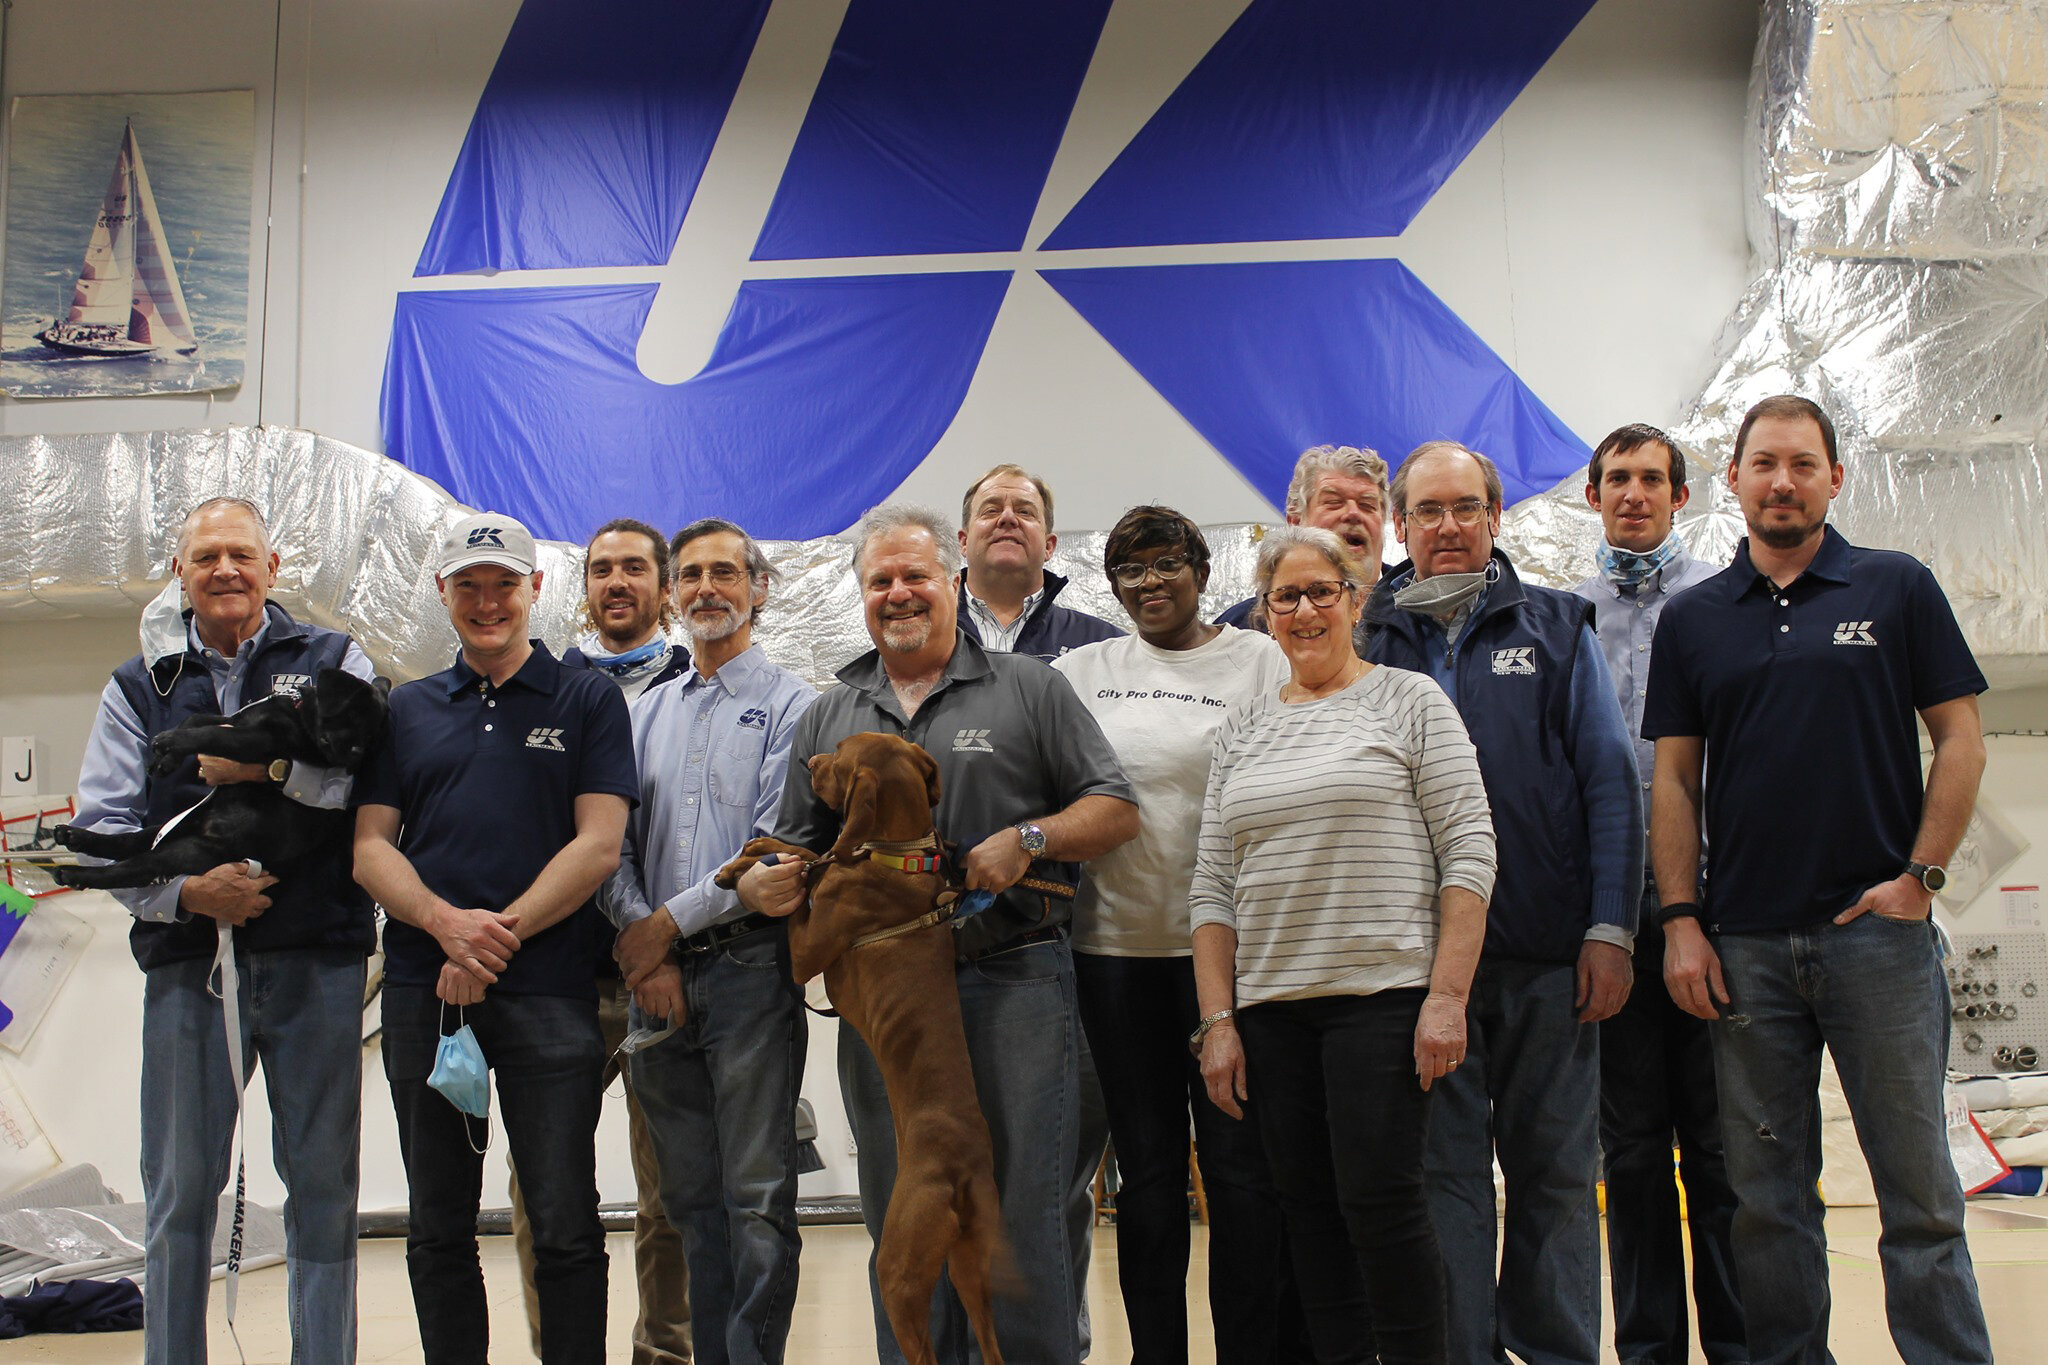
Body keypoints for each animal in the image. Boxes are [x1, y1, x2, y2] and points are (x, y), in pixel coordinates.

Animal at [57, 667, 391, 892]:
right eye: (354, 716)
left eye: (374, 737)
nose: (356, 759)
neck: (297, 713)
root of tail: (205, 826)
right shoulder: (235, 720)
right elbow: (196, 720)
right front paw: (166, 759)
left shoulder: (259, 740)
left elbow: (209, 735)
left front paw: (171, 743)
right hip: (167, 829)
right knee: (124, 843)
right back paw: (75, 836)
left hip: (186, 851)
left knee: (132, 867)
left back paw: (74, 874)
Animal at [720, 736, 1007, 1365]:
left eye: (838, 752)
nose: (807, 762)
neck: (896, 857)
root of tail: (961, 1174)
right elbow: (802, 851)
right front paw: (741, 861)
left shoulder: (806, 949)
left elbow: (808, 864)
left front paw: (749, 861)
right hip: (969, 1266)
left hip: (897, 1266)